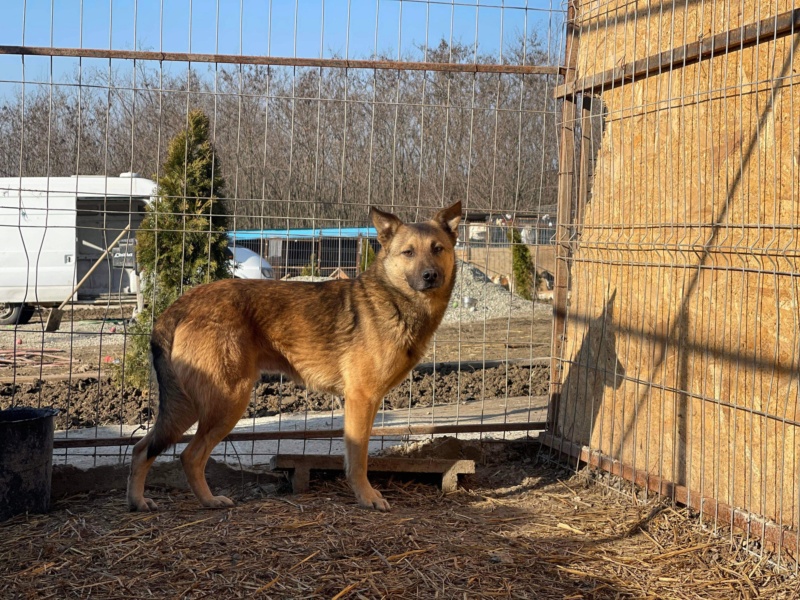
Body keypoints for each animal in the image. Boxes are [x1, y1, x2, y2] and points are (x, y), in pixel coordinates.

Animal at [126, 200, 462, 510]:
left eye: (438, 249)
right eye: (408, 253)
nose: (430, 276)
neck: (394, 299)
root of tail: (182, 303)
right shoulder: (361, 400)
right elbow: (359, 459)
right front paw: (366, 497)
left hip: (190, 405)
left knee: (142, 449)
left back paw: (141, 501)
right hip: (226, 401)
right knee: (189, 455)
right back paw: (207, 501)